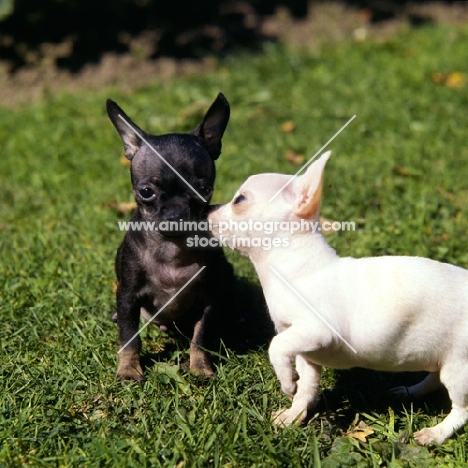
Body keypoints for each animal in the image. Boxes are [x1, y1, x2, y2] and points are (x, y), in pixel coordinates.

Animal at [107, 94, 236, 380]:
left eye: (204, 190)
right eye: (146, 192)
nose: (176, 214)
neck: (171, 247)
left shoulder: (208, 300)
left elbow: (200, 337)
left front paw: (200, 367)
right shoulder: (128, 296)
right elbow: (129, 337)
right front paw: (129, 370)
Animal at [210, 152, 468, 448]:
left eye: (239, 200)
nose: (207, 209)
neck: (294, 270)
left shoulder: (316, 330)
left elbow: (276, 346)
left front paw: (286, 381)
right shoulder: (305, 349)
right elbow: (307, 386)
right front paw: (293, 415)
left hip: (459, 364)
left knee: (461, 409)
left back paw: (437, 432)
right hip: (441, 355)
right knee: (435, 376)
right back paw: (410, 391)